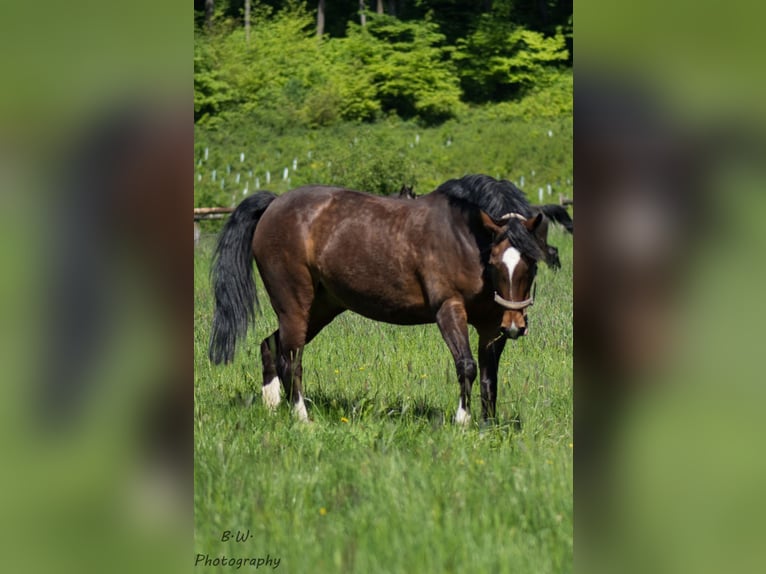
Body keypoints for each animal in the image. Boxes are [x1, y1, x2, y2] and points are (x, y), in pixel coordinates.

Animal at [208, 174, 551, 425]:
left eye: (532, 262)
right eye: (495, 262)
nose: (515, 326)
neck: (463, 238)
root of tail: (274, 204)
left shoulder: (491, 325)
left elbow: (489, 376)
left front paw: (487, 426)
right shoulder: (449, 310)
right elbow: (466, 366)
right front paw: (463, 422)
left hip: (321, 308)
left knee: (271, 346)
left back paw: (272, 407)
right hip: (294, 305)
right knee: (292, 358)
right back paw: (302, 418)